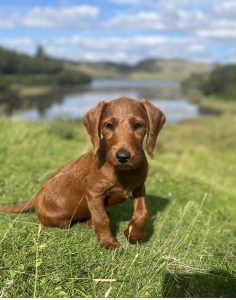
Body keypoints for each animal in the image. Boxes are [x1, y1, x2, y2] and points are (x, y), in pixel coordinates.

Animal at [0, 97, 165, 250]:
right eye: (109, 125)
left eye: (138, 125)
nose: (123, 157)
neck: (121, 172)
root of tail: (35, 197)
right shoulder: (94, 193)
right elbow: (101, 219)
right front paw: (108, 242)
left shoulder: (139, 187)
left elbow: (142, 213)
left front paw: (133, 234)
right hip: (60, 220)